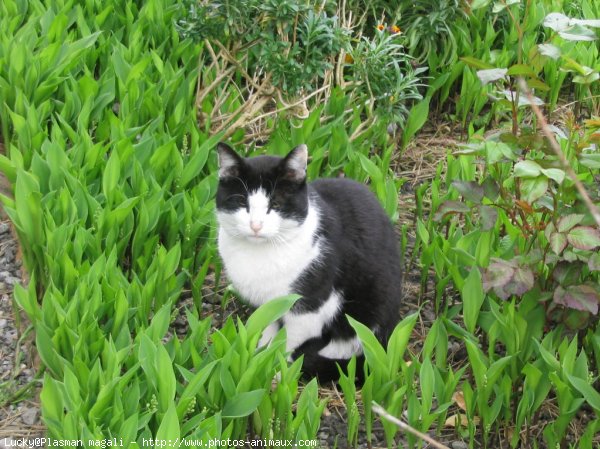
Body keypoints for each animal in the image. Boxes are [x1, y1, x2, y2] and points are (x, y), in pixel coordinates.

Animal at [216, 142, 404, 380]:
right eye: (241, 202)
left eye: (275, 203)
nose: (255, 226)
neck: (259, 253)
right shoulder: (267, 305)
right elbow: (268, 328)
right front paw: (259, 357)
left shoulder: (309, 308)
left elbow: (289, 342)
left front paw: (277, 372)